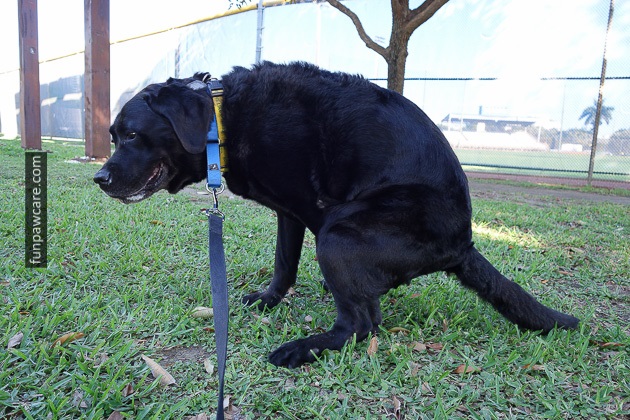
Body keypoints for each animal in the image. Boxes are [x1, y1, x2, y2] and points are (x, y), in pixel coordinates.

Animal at [95, 61, 584, 368]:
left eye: (132, 135)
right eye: (113, 135)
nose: (99, 178)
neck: (220, 117)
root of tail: (464, 242)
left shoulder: (312, 208)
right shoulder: (288, 212)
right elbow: (283, 263)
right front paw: (269, 300)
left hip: (339, 232)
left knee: (362, 324)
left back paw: (302, 349)